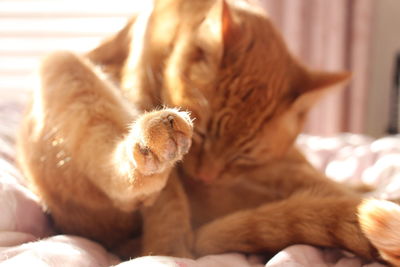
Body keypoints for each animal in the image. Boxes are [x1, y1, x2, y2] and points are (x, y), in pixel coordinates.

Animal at [17, 0, 400, 264]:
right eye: (202, 136)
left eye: (242, 156)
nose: (204, 178)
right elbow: (167, 200)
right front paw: (168, 251)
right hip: (61, 64)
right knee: (129, 180)